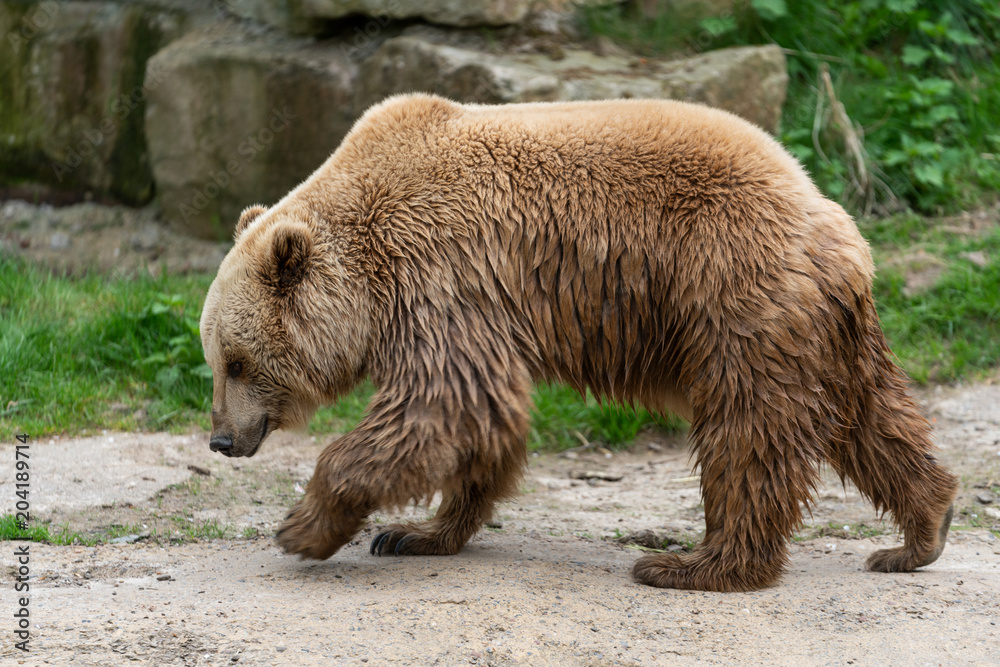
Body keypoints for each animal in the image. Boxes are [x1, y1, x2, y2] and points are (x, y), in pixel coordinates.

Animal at [199, 93, 958, 592]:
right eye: (213, 361)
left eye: (236, 361)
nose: (221, 438)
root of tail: (831, 220)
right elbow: (481, 420)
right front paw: (416, 533)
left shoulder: (439, 270)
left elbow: (441, 403)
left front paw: (303, 526)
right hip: (827, 329)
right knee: (870, 418)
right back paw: (921, 531)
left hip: (731, 290)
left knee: (747, 431)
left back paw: (691, 564)